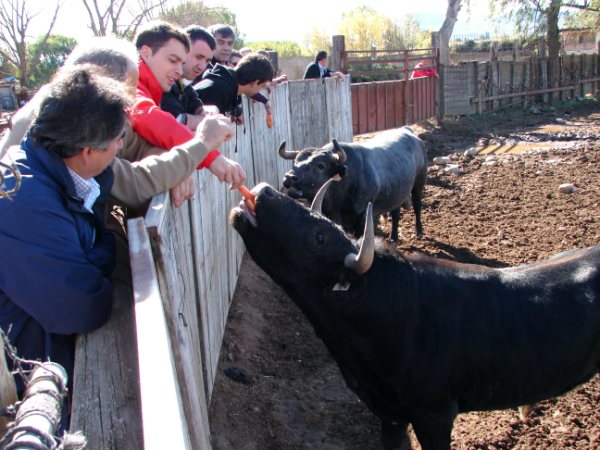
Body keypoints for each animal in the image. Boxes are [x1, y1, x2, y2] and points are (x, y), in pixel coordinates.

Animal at [280, 125, 426, 241]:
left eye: (321, 165)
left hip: (418, 183)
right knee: (395, 212)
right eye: (295, 161)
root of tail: (407, 130)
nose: (289, 177)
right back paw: (394, 237)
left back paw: (419, 231)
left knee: (417, 205)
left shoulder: (363, 218)